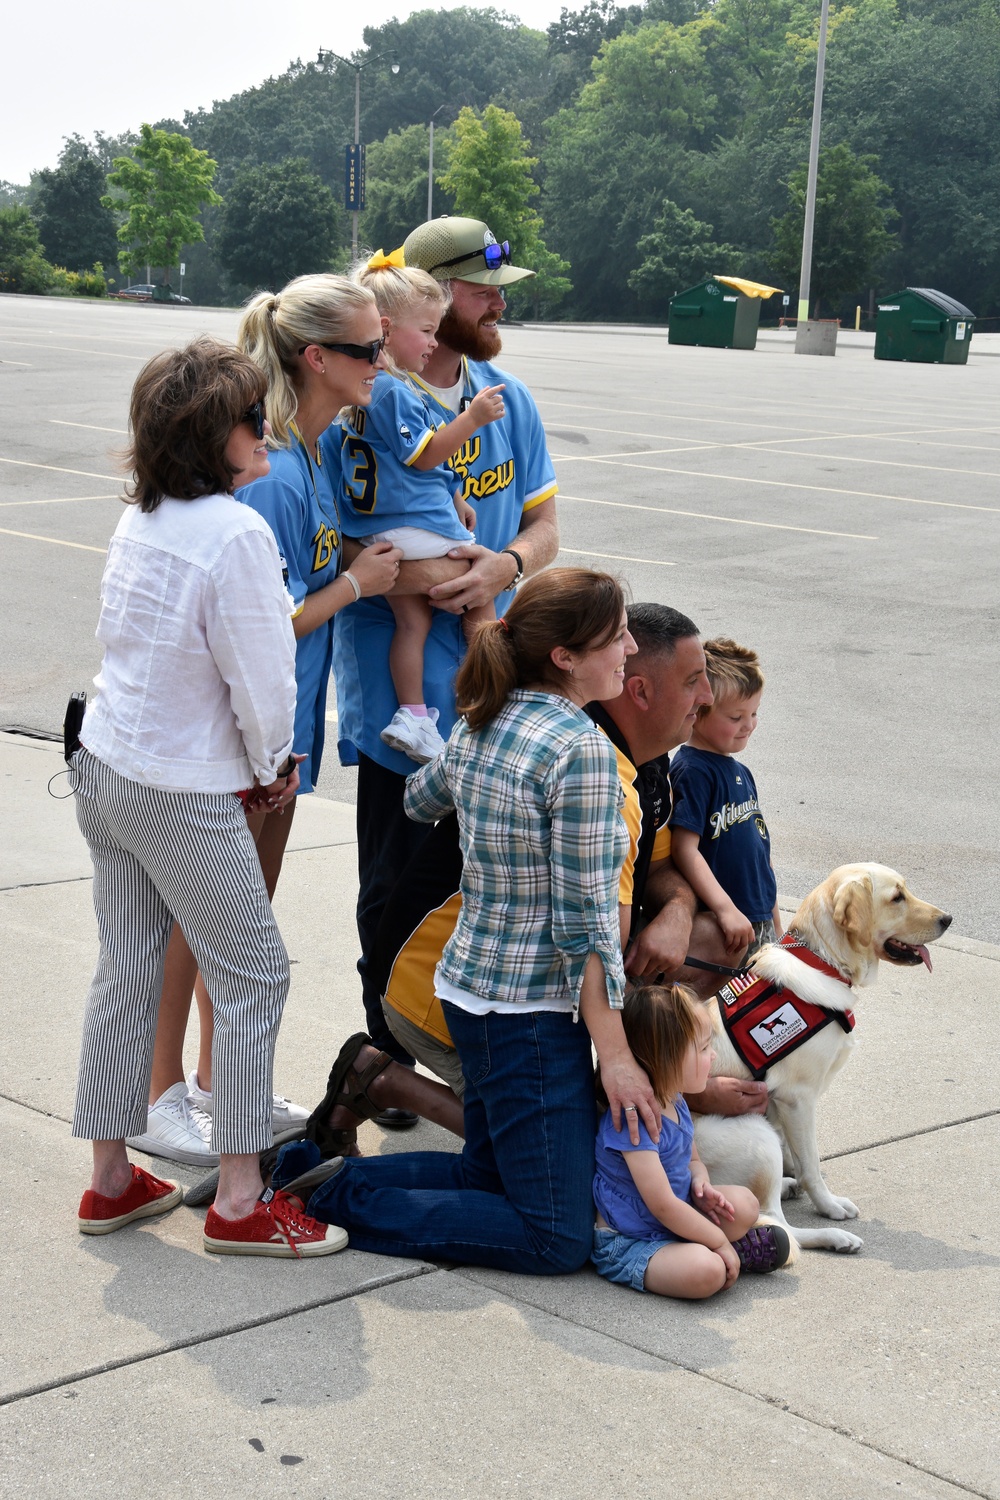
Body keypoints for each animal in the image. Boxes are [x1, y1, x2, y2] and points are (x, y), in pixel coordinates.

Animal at [692, 870, 953, 1254]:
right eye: (897, 897)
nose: (947, 919)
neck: (821, 961)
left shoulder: (781, 1105)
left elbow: (799, 1158)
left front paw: (798, 1179)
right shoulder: (797, 1098)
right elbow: (812, 1165)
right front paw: (828, 1205)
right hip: (756, 1135)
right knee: (778, 1226)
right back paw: (835, 1237)